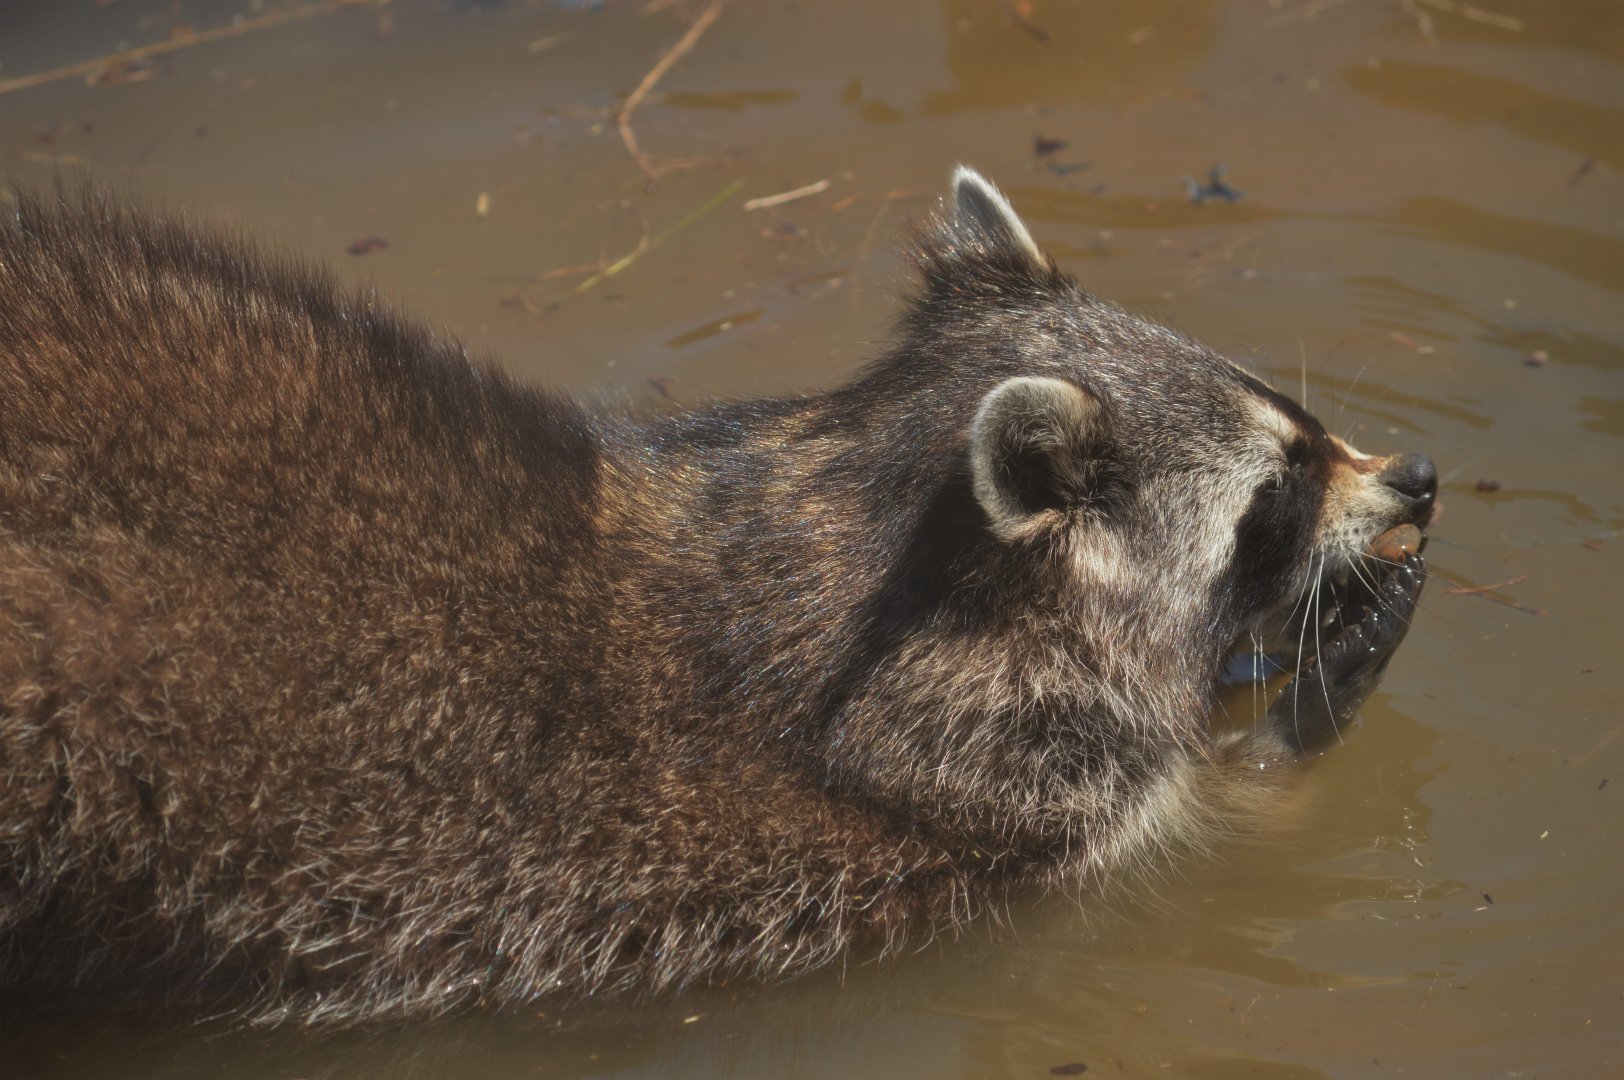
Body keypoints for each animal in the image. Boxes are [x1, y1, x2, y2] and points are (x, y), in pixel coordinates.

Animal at [0, 169, 1433, 1026]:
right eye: (1278, 485)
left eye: (1298, 424)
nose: (1415, 475)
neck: (858, 523)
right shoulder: (991, 782)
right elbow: (1215, 828)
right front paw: (1312, 692)